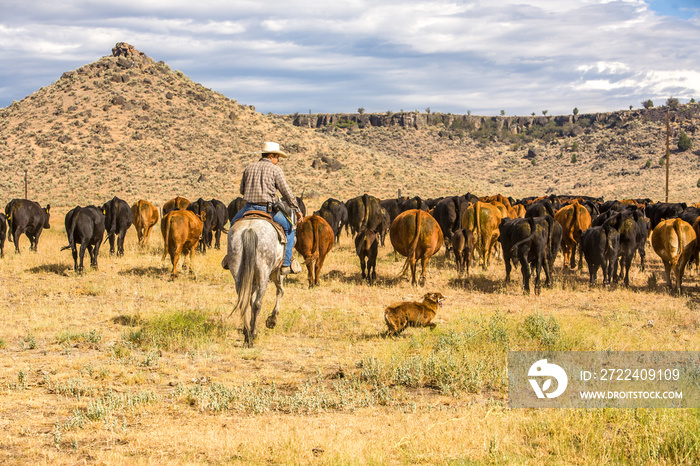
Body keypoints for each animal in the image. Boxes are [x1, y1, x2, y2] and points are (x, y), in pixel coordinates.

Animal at [220, 218, 284, 346]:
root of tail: (250, 230)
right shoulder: (276, 271)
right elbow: (280, 290)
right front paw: (272, 319)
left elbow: (250, 300)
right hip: (264, 274)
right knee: (257, 303)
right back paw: (252, 334)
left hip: (238, 274)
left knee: (243, 303)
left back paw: (247, 334)